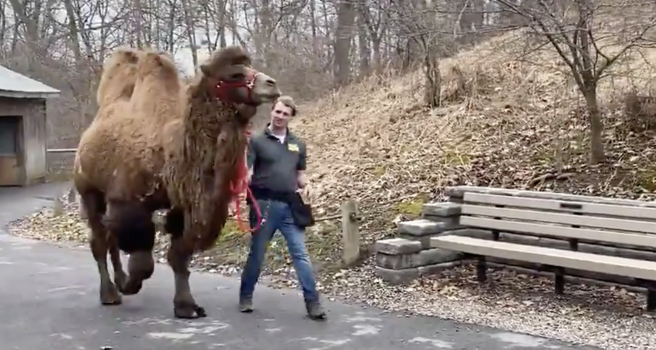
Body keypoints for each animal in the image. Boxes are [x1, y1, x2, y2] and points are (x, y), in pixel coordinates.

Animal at [75, 46, 280, 320]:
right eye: (234, 74)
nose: (271, 84)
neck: (172, 152)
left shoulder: (186, 205)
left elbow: (179, 256)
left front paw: (186, 306)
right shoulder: (129, 202)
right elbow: (144, 261)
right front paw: (130, 285)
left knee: (109, 238)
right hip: (88, 190)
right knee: (100, 240)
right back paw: (111, 293)